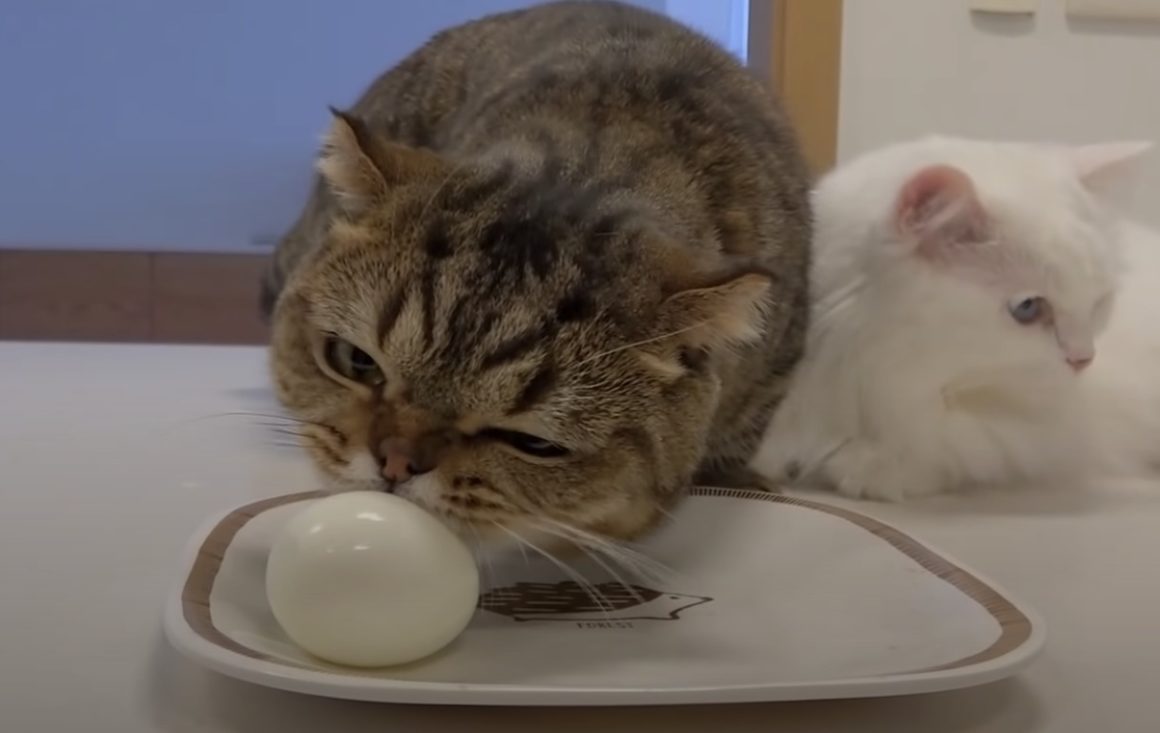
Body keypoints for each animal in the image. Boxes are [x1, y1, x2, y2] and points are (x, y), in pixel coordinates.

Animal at [752, 135, 1153, 501]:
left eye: (1100, 301)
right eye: (1028, 308)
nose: (1084, 359)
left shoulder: (1036, 432)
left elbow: (952, 448)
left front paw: (869, 468)